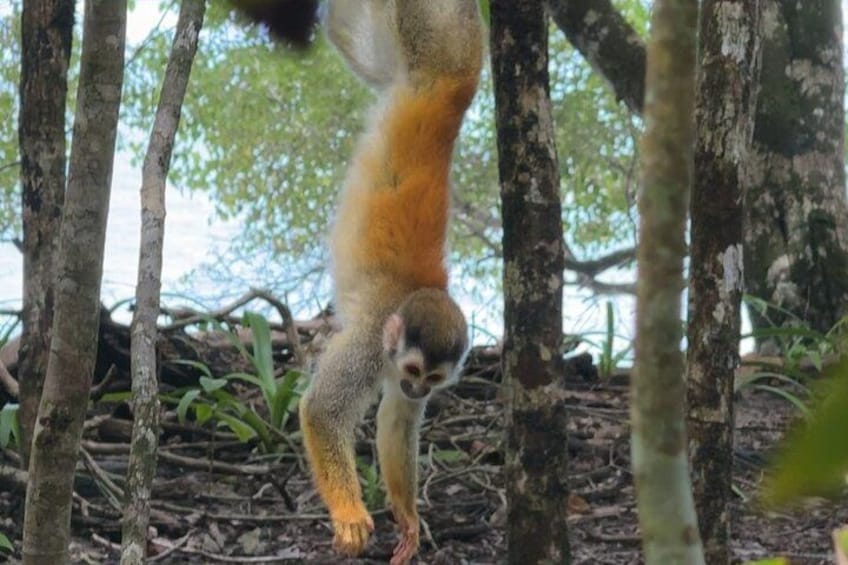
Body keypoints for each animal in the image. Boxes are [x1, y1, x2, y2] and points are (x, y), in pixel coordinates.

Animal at [297, 1, 483, 563]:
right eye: (416, 369)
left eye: (433, 380)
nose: (415, 387)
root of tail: (442, 94)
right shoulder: (366, 341)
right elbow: (322, 411)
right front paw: (350, 513)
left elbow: (396, 425)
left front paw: (408, 517)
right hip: (429, 42)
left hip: (421, 61)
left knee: (360, 47)